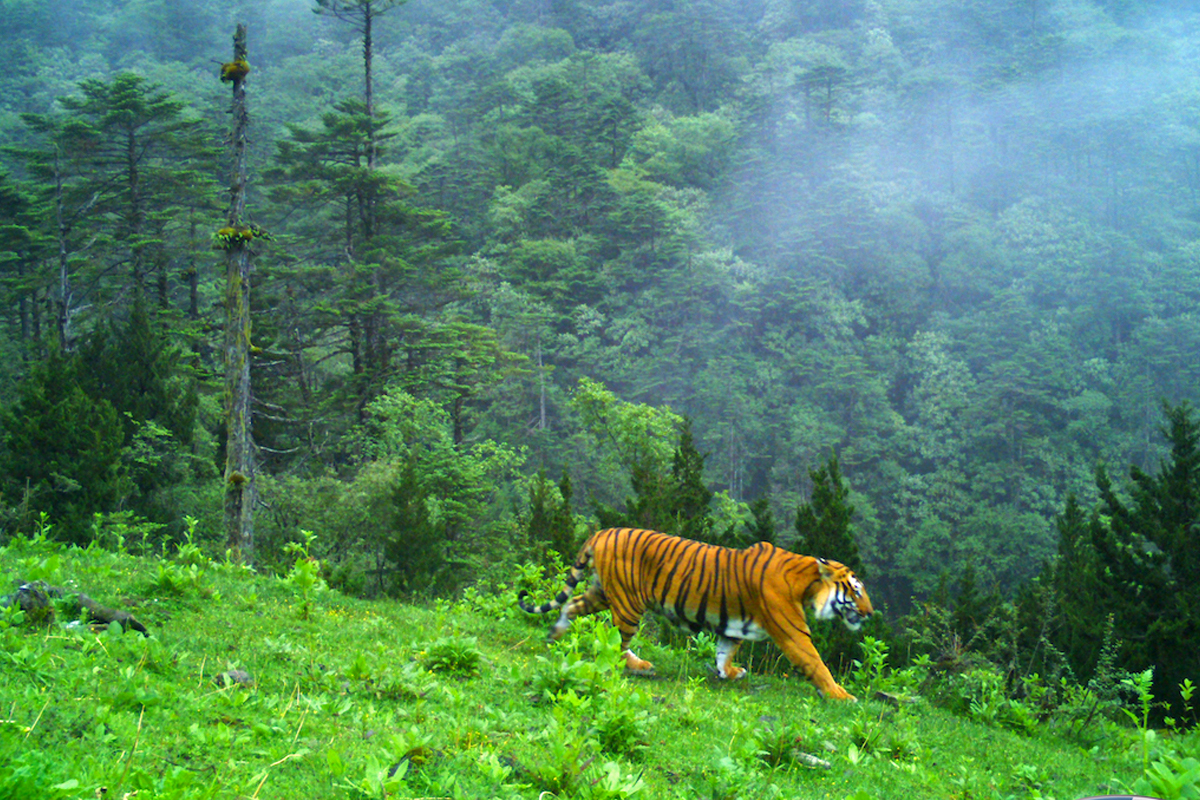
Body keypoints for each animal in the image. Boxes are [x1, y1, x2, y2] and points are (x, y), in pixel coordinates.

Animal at [516, 527, 873, 705]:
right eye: (856, 591)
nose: (870, 613)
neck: (807, 585)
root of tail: (602, 532)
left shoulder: (734, 627)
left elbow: (724, 652)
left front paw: (730, 673)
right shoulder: (793, 632)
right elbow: (817, 664)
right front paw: (841, 695)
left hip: (603, 591)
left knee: (572, 604)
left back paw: (555, 634)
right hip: (629, 603)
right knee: (618, 643)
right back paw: (639, 666)